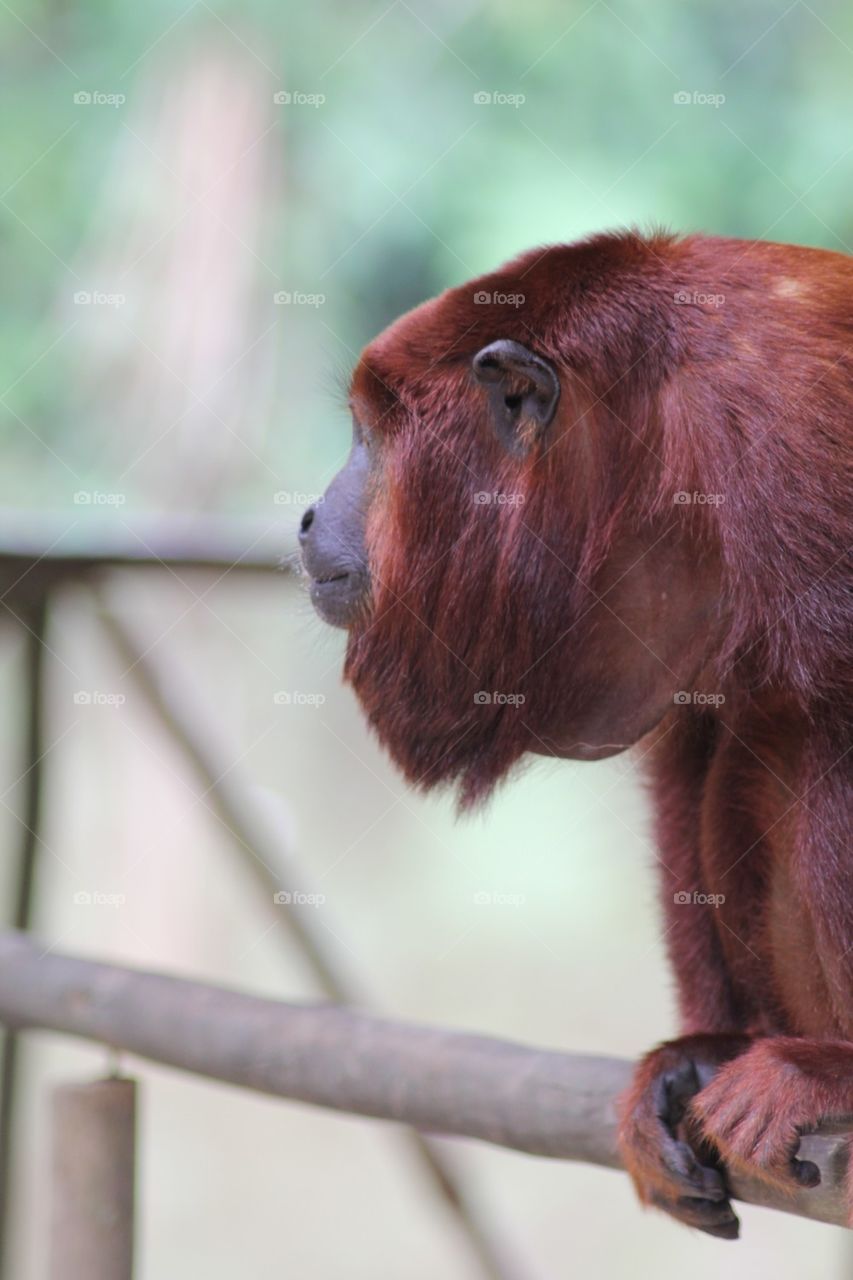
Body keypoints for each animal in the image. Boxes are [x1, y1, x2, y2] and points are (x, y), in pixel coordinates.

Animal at [299, 229, 853, 1239]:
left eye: (369, 433)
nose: (308, 514)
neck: (646, 433)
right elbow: (698, 729)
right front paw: (697, 1052)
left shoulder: (786, 437)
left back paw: (830, 1071)